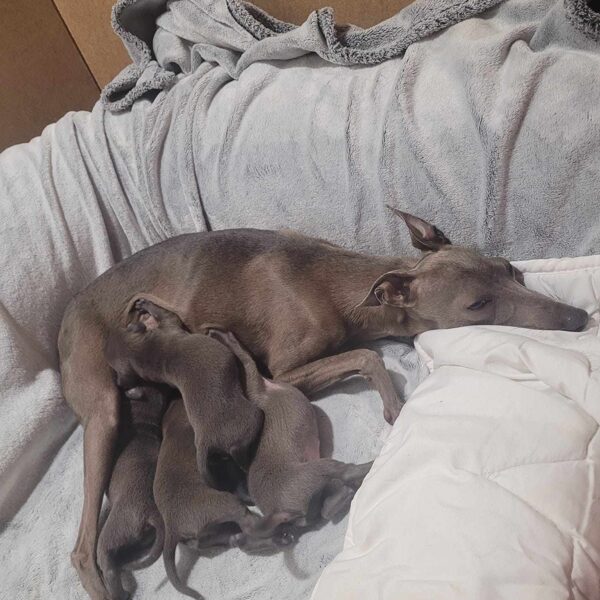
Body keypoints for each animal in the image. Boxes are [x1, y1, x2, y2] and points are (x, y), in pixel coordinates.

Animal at [96, 385, 168, 600]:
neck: (144, 422)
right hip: (137, 540)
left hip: (114, 529)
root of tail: (151, 513)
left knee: (109, 565)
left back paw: (118, 592)